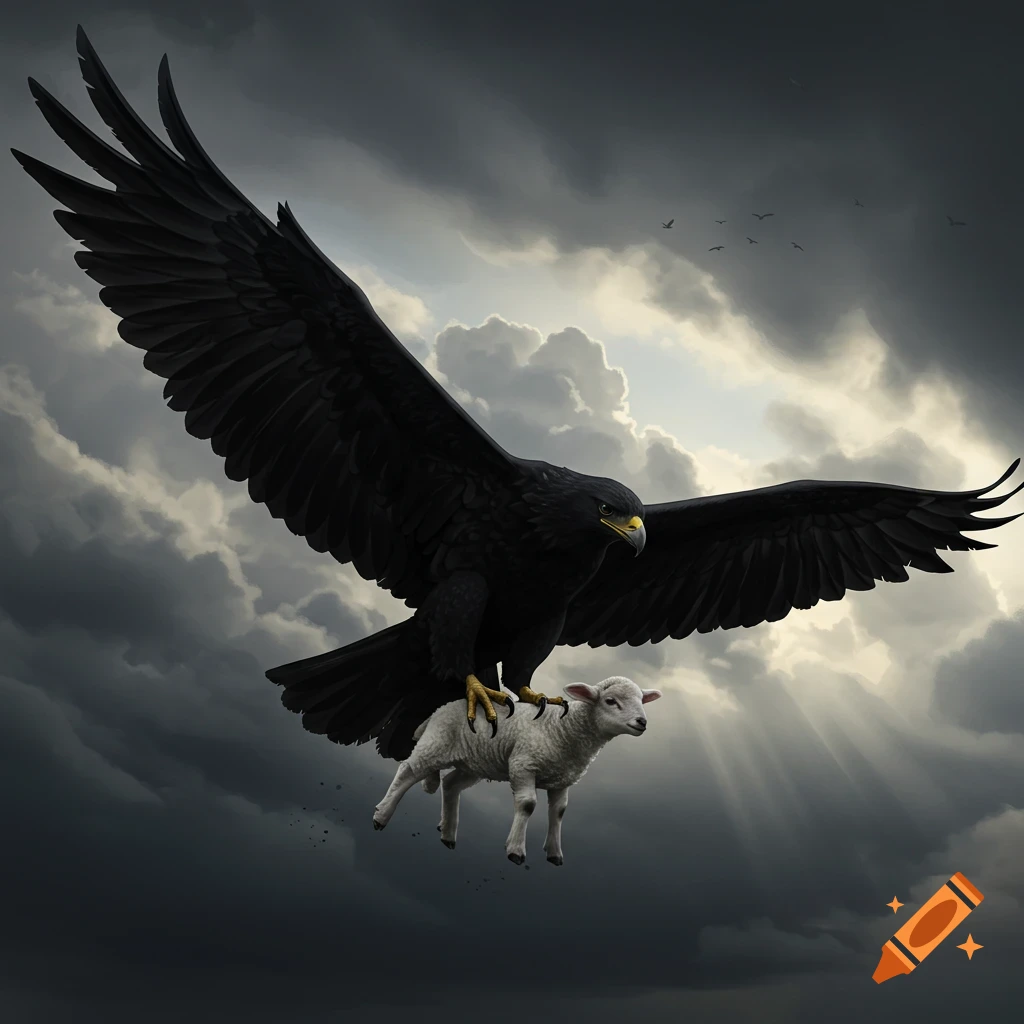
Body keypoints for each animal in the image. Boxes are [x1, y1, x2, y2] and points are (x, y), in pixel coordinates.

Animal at [372, 675, 662, 865]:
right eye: (611, 701)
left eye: (641, 701)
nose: (642, 722)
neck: (564, 729)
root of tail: (439, 710)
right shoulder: (523, 764)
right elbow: (528, 805)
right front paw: (515, 851)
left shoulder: (562, 779)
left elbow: (559, 812)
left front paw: (554, 853)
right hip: (436, 743)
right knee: (408, 771)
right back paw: (381, 816)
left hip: (474, 761)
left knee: (451, 784)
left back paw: (448, 834)